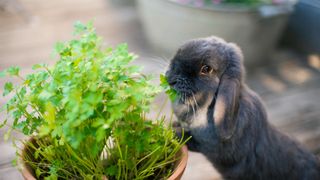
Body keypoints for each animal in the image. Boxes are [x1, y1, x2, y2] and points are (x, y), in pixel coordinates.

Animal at [165, 35, 320, 179]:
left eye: (206, 69)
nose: (171, 79)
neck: (205, 106)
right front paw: (174, 125)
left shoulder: (214, 147)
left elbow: (193, 140)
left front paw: (174, 131)